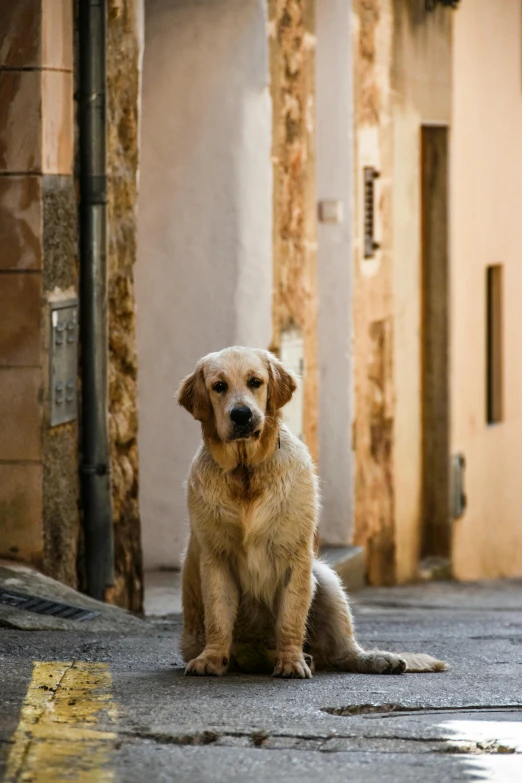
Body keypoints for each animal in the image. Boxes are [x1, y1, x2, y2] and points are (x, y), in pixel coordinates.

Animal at [177, 346, 444, 676]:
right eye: (219, 386)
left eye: (255, 382)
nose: (241, 414)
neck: (246, 472)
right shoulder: (216, 558)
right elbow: (218, 617)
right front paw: (211, 659)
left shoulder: (296, 557)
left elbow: (290, 618)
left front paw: (291, 661)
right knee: (253, 651)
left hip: (325, 578)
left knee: (343, 651)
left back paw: (376, 658)